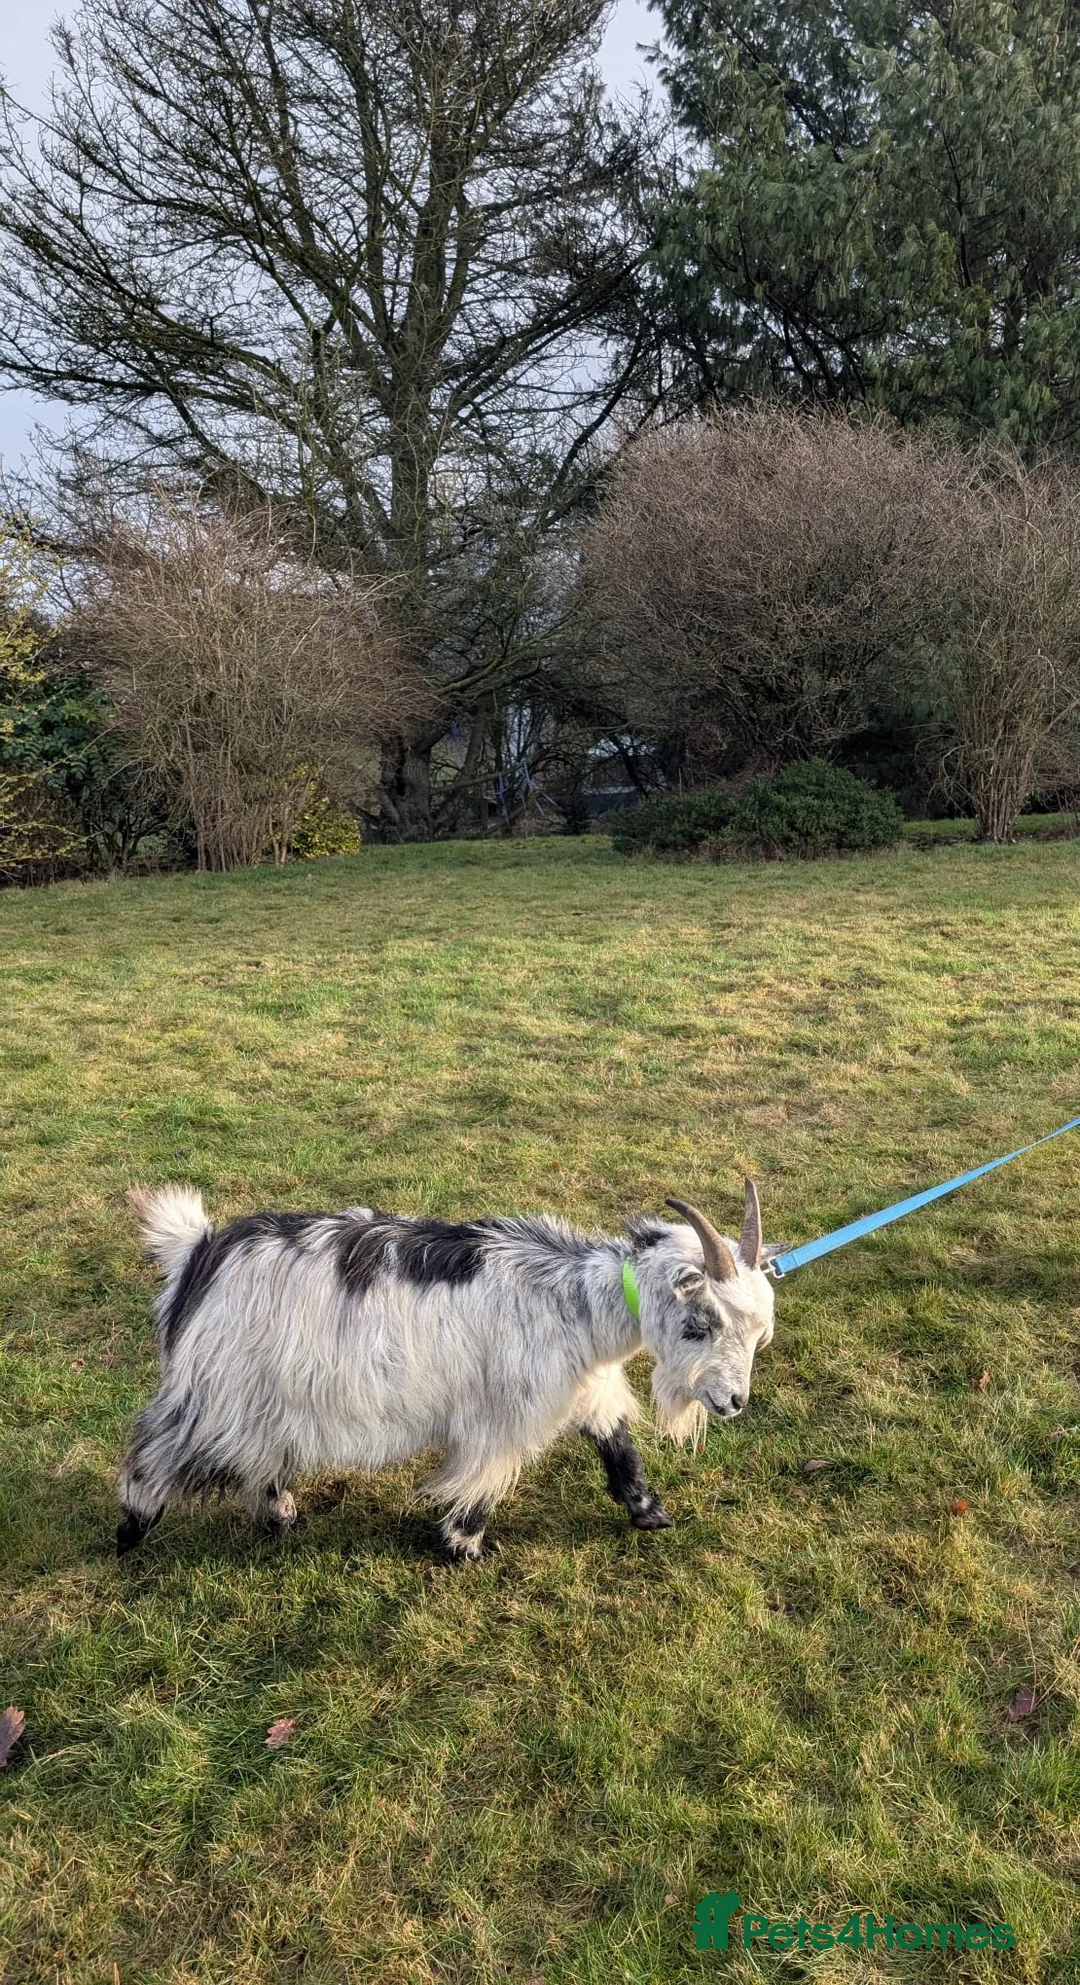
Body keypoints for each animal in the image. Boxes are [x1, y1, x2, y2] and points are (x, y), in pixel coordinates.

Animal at [116, 1182, 780, 1561]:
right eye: (701, 1323)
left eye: (758, 1334)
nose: (734, 1402)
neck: (577, 1302)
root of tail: (201, 1252)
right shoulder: (502, 1412)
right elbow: (483, 1473)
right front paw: (464, 1546)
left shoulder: (585, 1387)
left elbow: (615, 1440)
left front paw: (648, 1513)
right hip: (215, 1392)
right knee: (155, 1450)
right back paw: (130, 1532)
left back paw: (280, 1517)